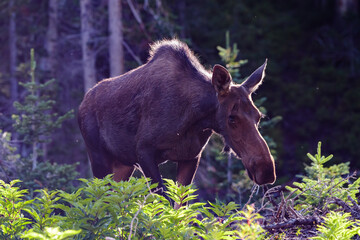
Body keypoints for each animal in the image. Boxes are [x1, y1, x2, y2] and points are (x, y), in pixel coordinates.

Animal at [78, 39, 276, 201]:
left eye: (259, 117)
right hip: (99, 158)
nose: (266, 170)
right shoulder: (144, 151)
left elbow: (181, 205)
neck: (194, 120)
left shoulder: (191, 156)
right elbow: (164, 202)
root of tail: (82, 103)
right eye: (232, 118)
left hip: (123, 164)